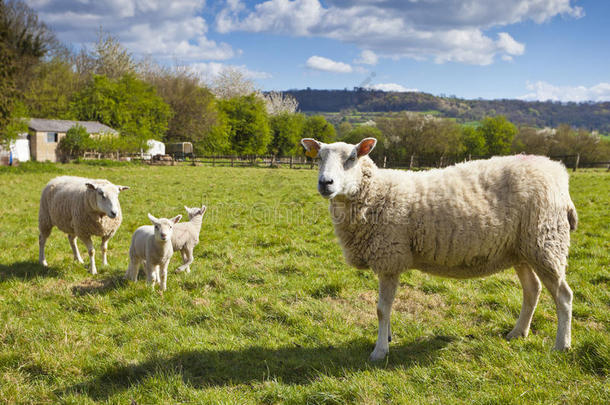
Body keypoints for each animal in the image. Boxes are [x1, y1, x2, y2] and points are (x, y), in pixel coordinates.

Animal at [302, 137, 576, 360]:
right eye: (319, 157)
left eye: (351, 158)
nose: (325, 183)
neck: (377, 193)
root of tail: (557, 172)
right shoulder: (389, 261)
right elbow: (386, 308)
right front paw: (387, 337)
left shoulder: (390, 257)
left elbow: (381, 309)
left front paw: (379, 351)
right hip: (521, 250)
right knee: (532, 290)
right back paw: (518, 332)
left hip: (545, 243)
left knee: (563, 295)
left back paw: (561, 345)